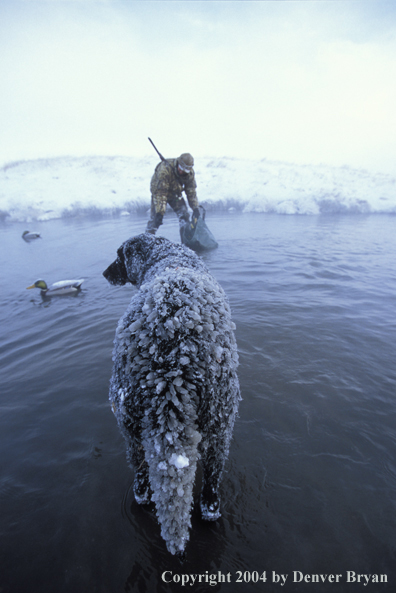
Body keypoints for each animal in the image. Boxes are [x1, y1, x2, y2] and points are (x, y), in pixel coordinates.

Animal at [103, 232, 240, 556]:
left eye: (118, 256)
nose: (104, 273)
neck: (168, 257)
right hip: (219, 420)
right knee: (210, 477)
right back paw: (208, 508)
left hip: (134, 422)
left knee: (143, 472)